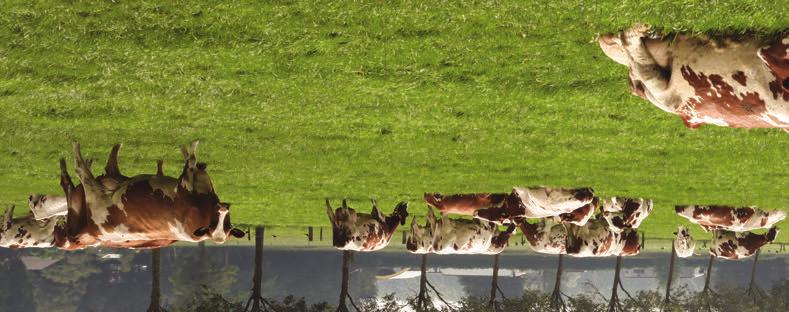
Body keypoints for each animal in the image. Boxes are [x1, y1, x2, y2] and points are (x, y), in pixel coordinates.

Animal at [54, 143, 243, 250]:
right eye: (217, 222)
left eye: (226, 226)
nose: (223, 208)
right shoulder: (192, 182)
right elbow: (191, 162)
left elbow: (191, 162)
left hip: (95, 193)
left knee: (79, 170)